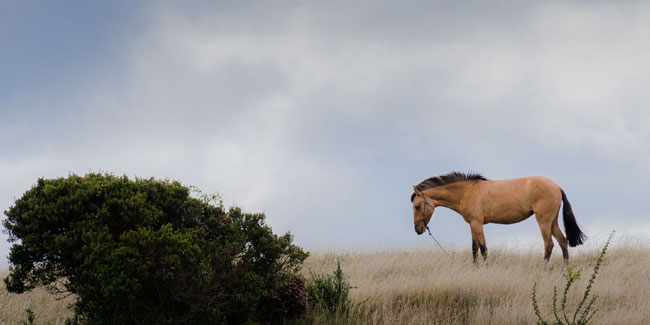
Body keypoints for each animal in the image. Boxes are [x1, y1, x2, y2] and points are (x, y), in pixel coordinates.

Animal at [410, 171, 588, 268]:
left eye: (417, 206)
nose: (418, 230)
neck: (467, 191)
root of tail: (556, 186)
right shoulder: (472, 225)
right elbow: (474, 249)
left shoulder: (477, 223)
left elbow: (483, 249)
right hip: (552, 221)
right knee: (562, 241)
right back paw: (565, 270)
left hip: (543, 221)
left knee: (549, 244)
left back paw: (542, 270)